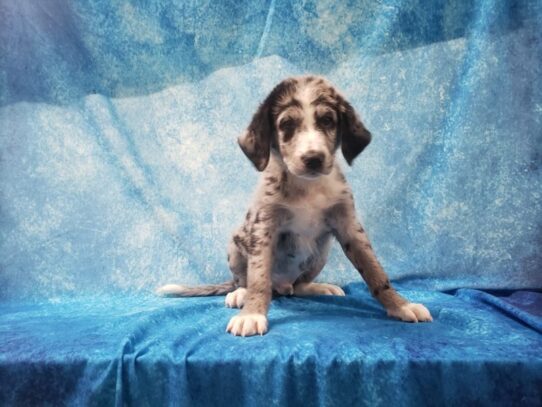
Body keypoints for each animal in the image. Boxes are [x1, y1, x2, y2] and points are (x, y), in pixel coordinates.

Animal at [157, 75, 434, 336]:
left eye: (327, 121)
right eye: (286, 125)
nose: (313, 158)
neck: (308, 187)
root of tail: (281, 286)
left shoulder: (349, 226)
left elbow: (375, 271)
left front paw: (401, 306)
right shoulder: (264, 228)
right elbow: (259, 278)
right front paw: (252, 314)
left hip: (320, 253)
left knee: (298, 287)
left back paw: (319, 287)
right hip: (235, 246)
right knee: (244, 281)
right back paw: (240, 294)